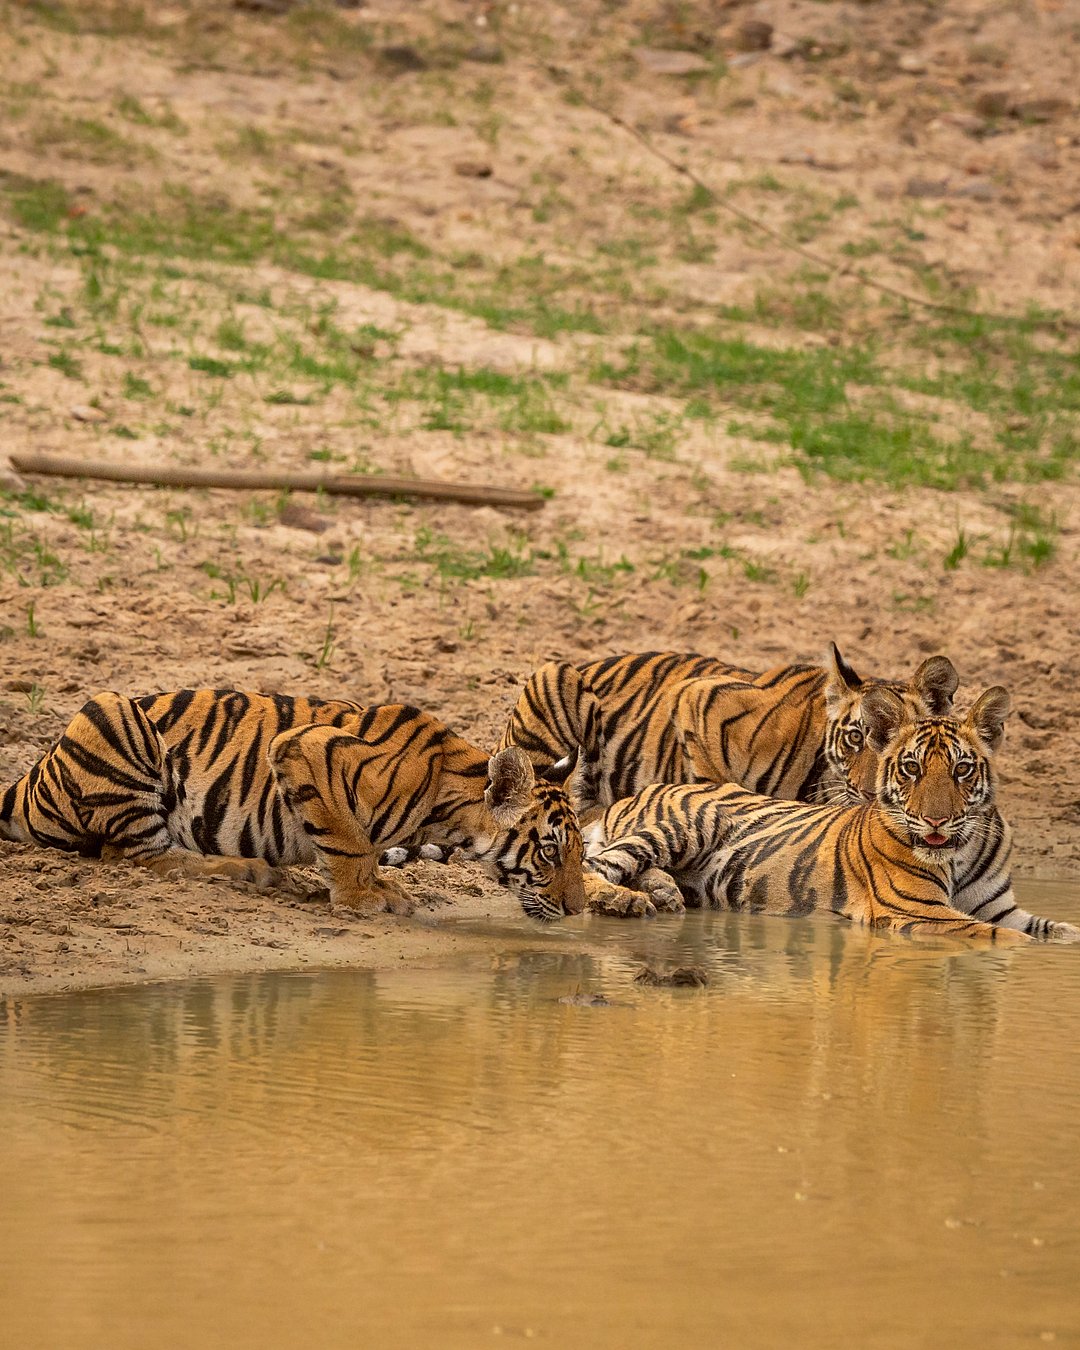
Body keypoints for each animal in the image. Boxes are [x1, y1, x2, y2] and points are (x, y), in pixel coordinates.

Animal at [0, 688, 589, 921]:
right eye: (549, 852)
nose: (577, 911)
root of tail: (31, 775)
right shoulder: (304, 747)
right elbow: (351, 843)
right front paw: (363, 898)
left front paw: (382, 887)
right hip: (110, 710)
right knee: (139, 855)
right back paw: (246, 870)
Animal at [580, 684, 1080, 942]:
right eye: (912, 768)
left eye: (962, 769)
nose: (936, 821)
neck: (963, 848)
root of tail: (632, 794)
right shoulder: (921, 909)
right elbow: (1011, 940)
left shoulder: (1000, 909)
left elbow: (1053, 929)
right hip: (682, 826)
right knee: (597, 866)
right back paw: (623, 900)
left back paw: (663, 893)